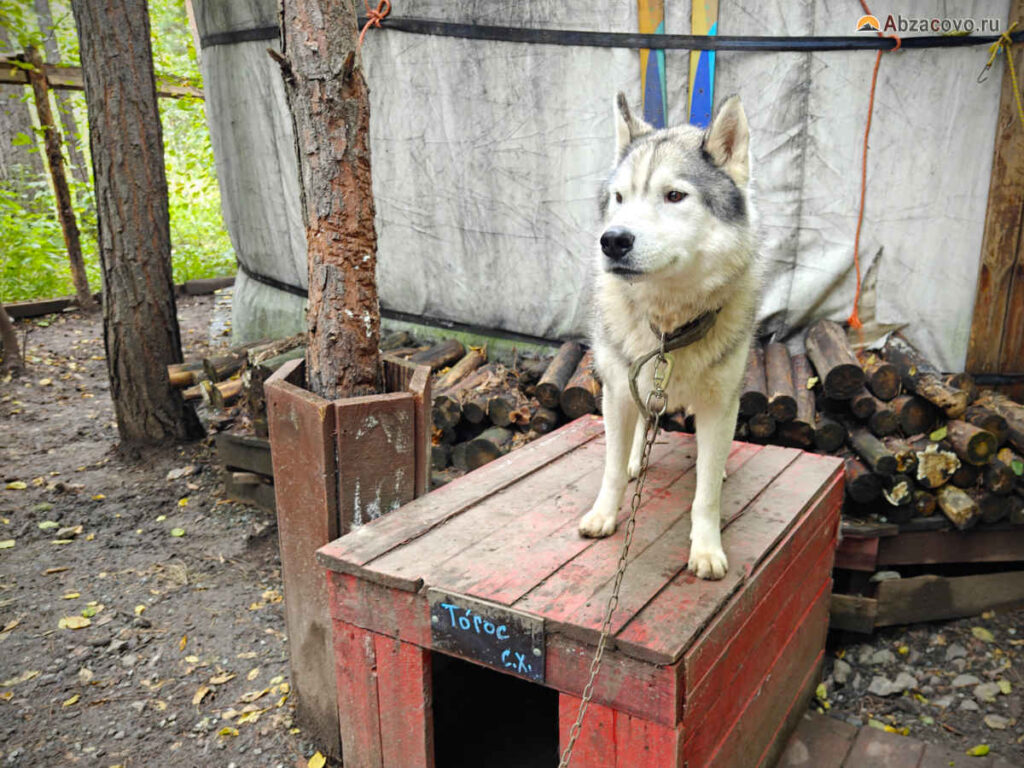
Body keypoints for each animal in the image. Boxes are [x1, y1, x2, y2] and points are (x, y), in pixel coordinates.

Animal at [577, 93, 761, 581]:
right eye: (619, 198)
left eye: (674, 196)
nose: (612, 240)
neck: (668, 326)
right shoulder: (617, 389)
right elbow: (611, 469)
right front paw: (605, 514)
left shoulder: (721, 404)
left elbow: (706, 497)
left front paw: (706, 548)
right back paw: (635, 457)